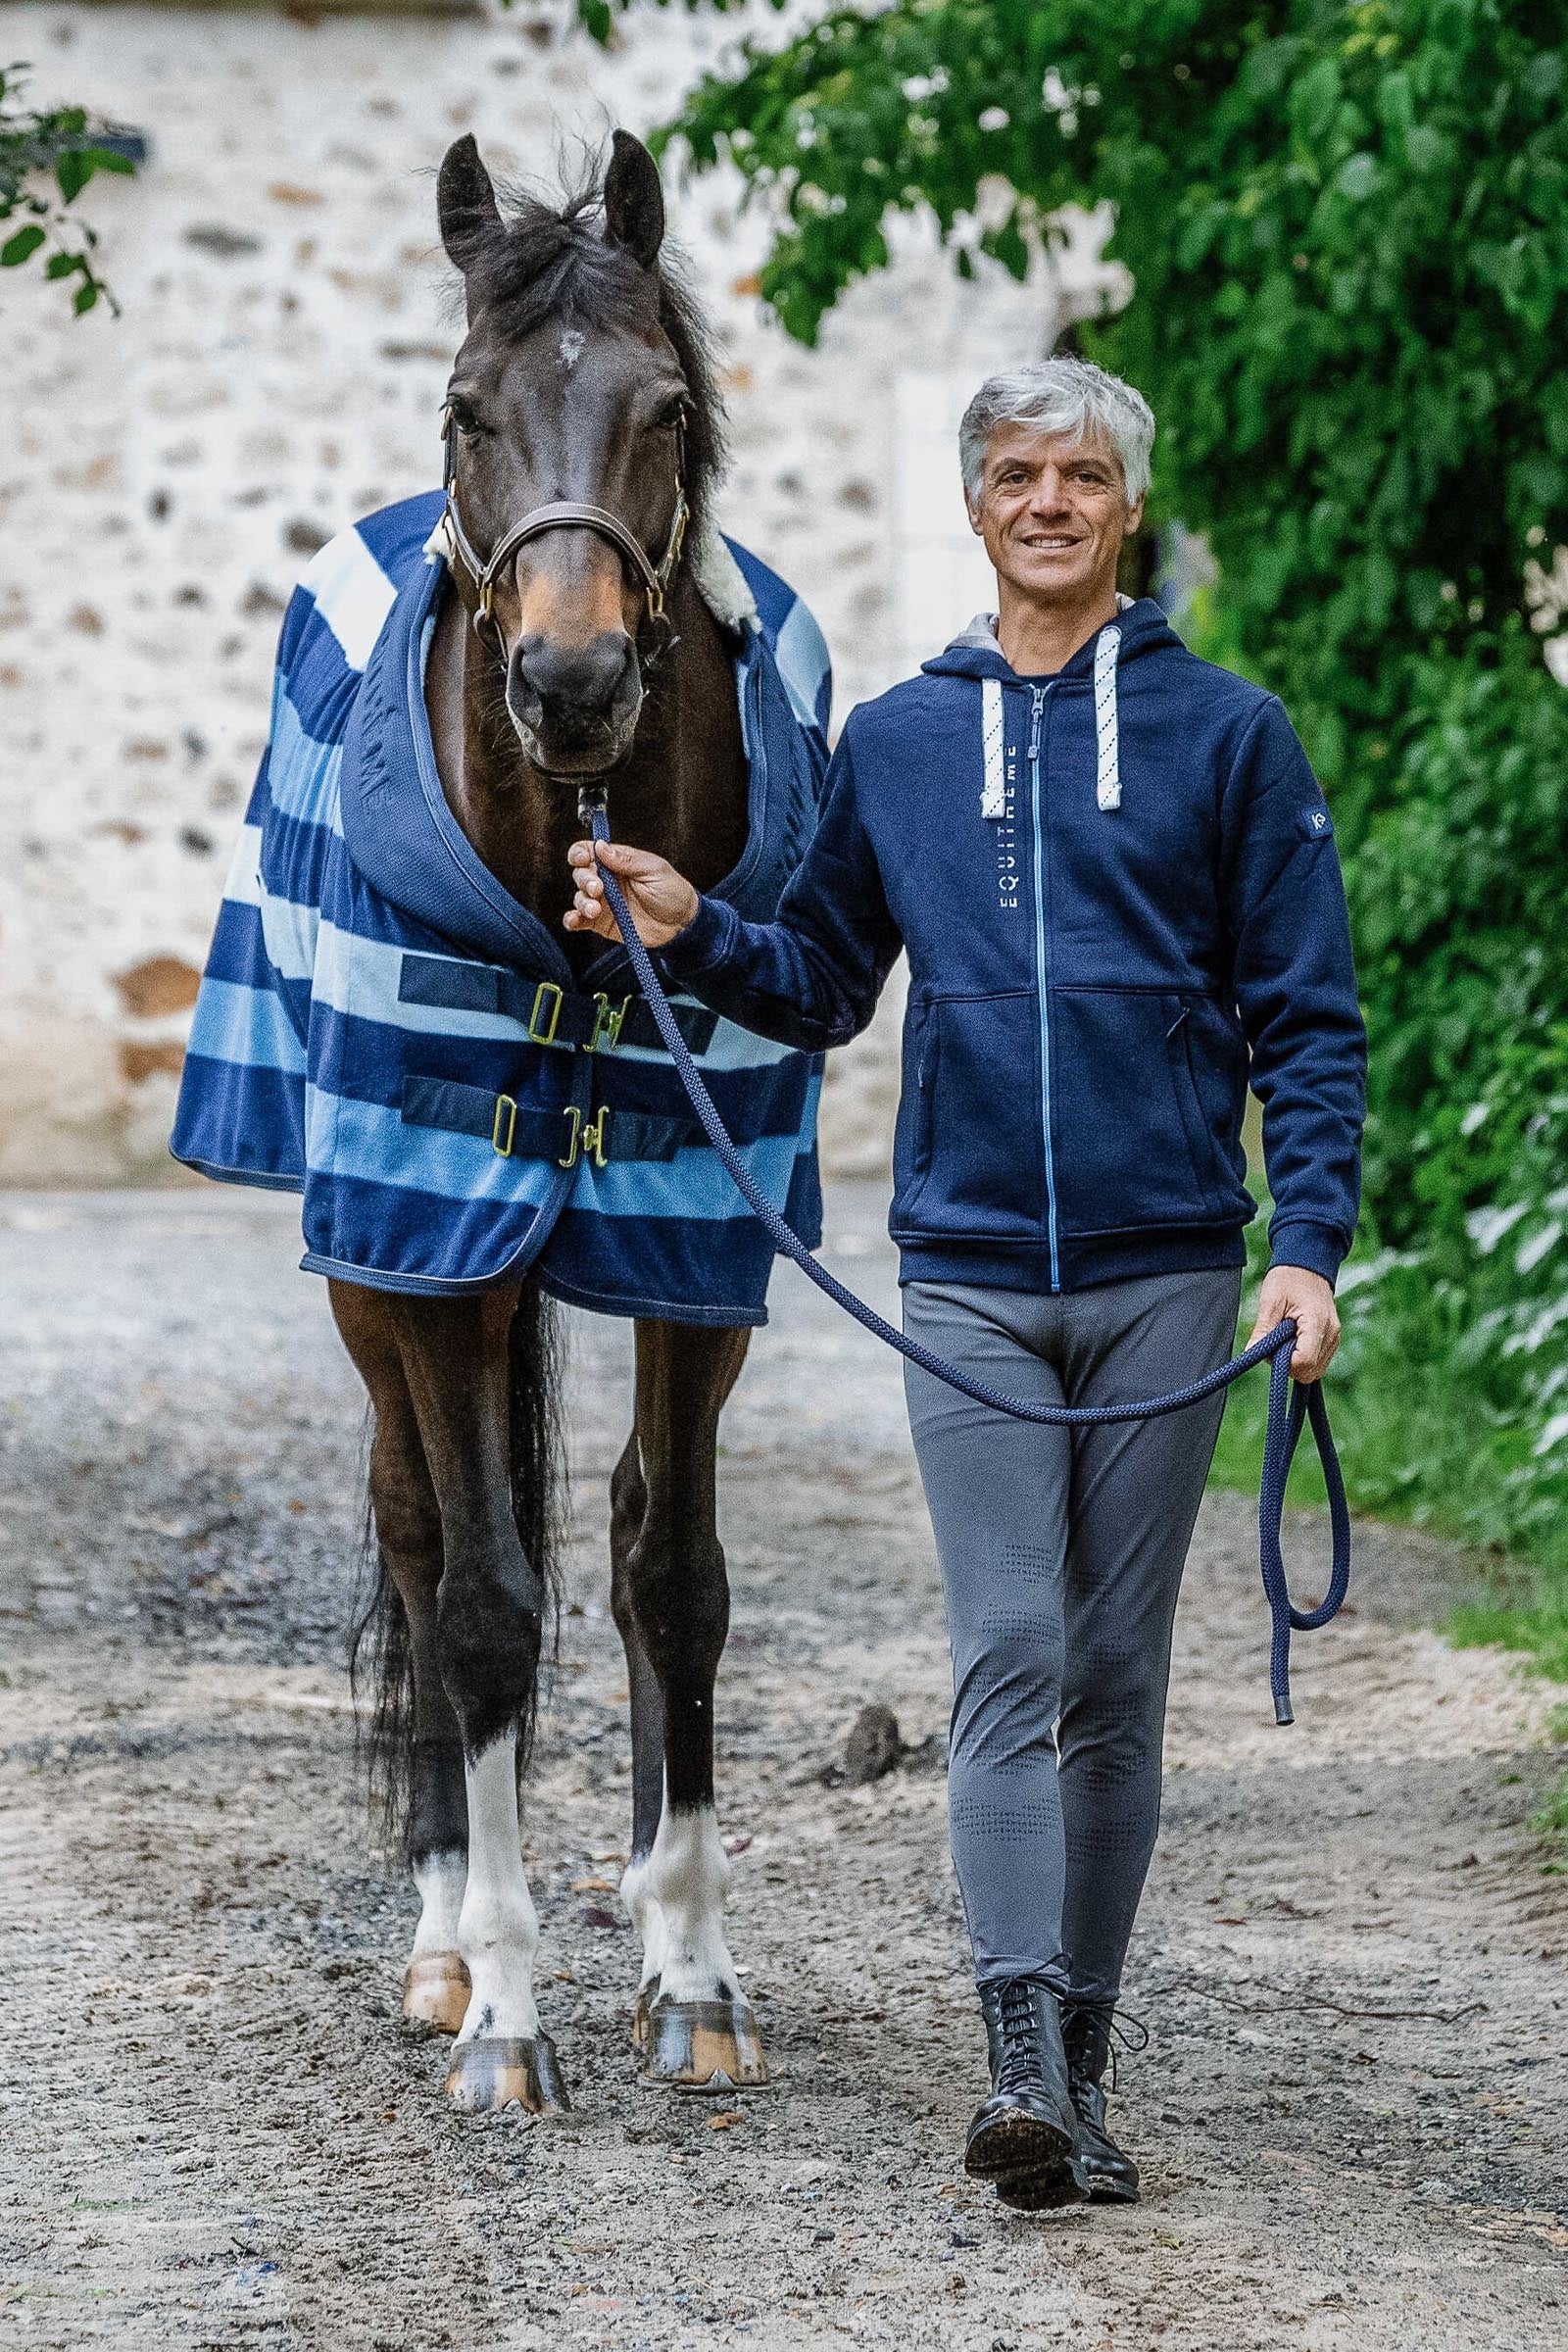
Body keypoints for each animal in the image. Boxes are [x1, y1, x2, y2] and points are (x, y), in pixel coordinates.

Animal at [307, 132, 803, 2113]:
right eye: (467, 407)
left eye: (663, 410)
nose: (574, 684)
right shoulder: (433, 1240)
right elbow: (484, 1607)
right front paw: (510, 2013)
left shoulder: (699, 1248)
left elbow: (671, 1573)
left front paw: (695, 1972)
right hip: (381, 1273)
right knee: (425, 1540)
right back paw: (449, 1940)